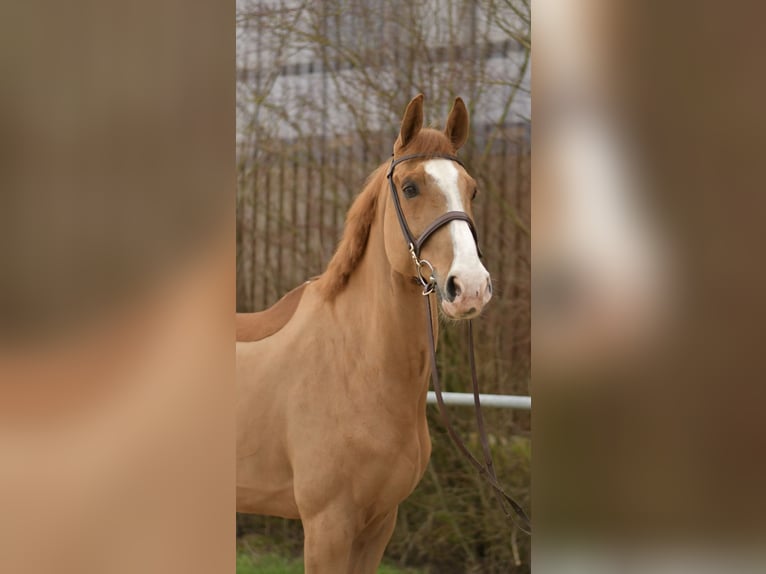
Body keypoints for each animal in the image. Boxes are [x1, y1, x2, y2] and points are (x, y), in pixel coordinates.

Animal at [236, 94, 492, 573]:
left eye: (472, 190)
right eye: (410, 187)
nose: (469, 287)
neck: (355, 364)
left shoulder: (379, 524)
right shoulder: (327, 527)